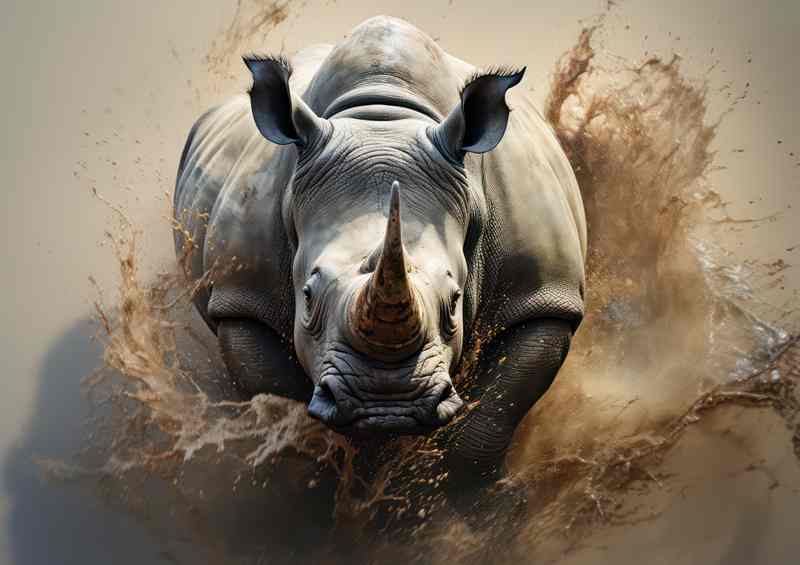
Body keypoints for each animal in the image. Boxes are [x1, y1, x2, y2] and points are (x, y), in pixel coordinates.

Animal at [174, 16, 586, 482]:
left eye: (455, 300)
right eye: (307, 296)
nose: (387, 406)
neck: (384, 116)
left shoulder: (543, 297)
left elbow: (494, 415)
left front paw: (460, 490)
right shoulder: (243, 299)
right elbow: (284, 413)